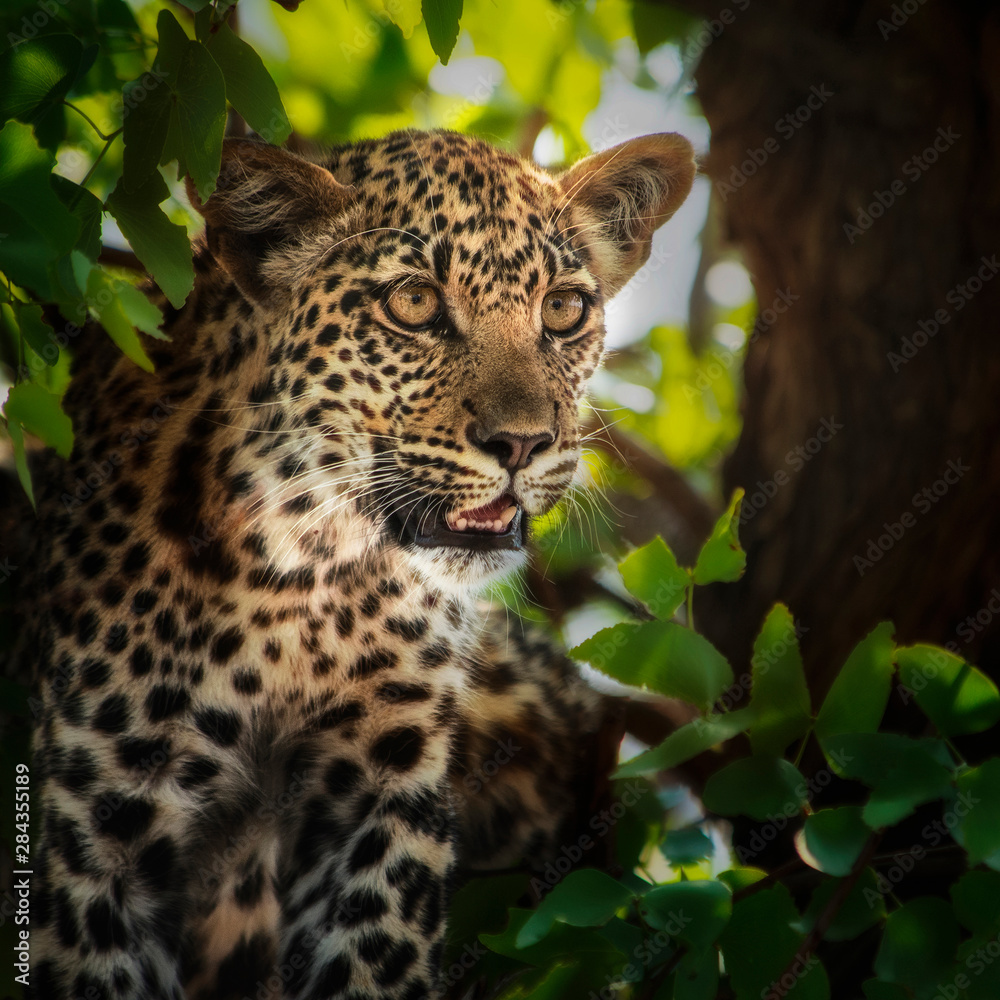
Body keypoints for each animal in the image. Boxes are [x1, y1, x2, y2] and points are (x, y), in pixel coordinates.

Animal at [15, 127, 695, 1000]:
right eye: (414, 304)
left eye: (563, 309)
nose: (522, 444)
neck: (305, 577)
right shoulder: (101, 824)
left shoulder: (383, 792)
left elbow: (375, 951)